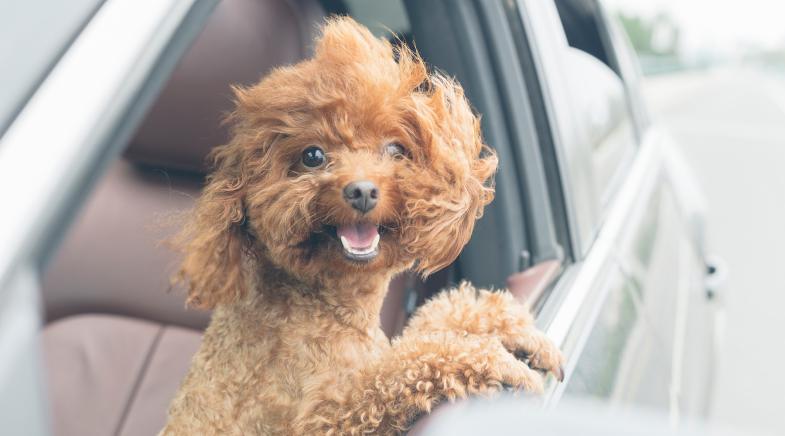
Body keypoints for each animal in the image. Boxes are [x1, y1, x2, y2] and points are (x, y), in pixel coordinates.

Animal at [162, 17, 560, 436]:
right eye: (313, 155)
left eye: (396, 149)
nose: (362, 191)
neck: (327, 308)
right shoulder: (315, 419)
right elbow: (394, 371)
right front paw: (489, 358)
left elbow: (428, 323)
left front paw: (506, 327)